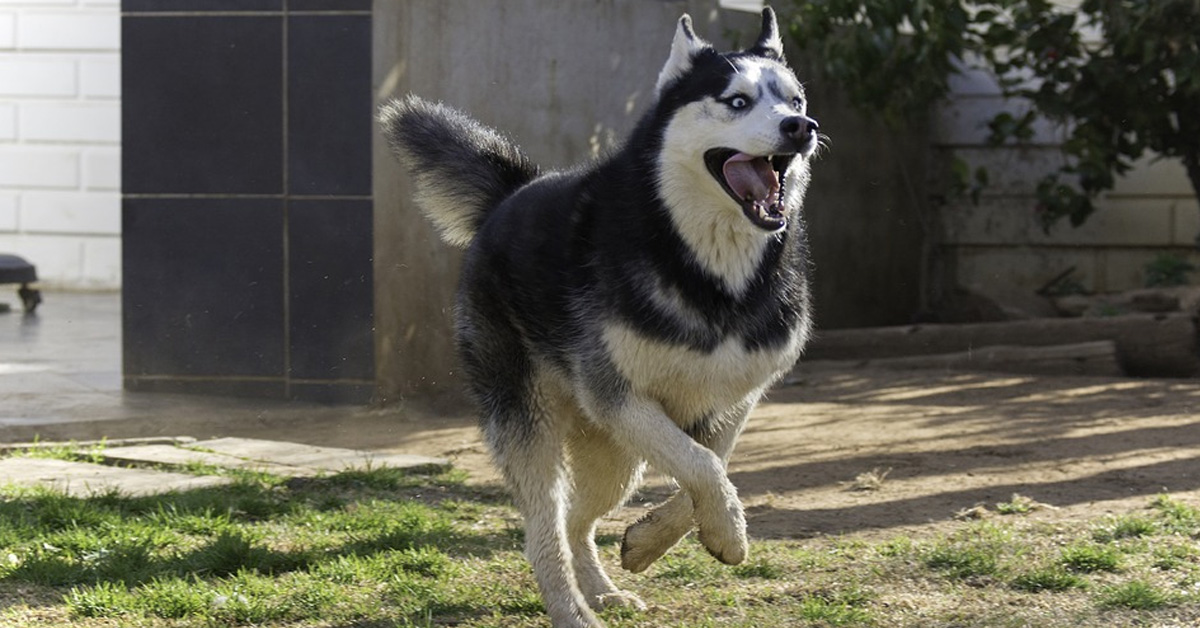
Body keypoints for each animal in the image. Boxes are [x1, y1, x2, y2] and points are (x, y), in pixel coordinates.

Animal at [379, 9, 820, 628]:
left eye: (794, 98)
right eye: (737, 101)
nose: (801, 127)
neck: (706, 268)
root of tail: (512, 191)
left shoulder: (734, 398)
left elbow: (712, 462)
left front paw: (656, 540)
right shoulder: (616, 394)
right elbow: (703, 466)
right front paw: (730, 535)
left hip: (614, 455)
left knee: (575, 520)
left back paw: (603, 591)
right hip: (533, 425)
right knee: (543, 528)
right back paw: (571, 608)